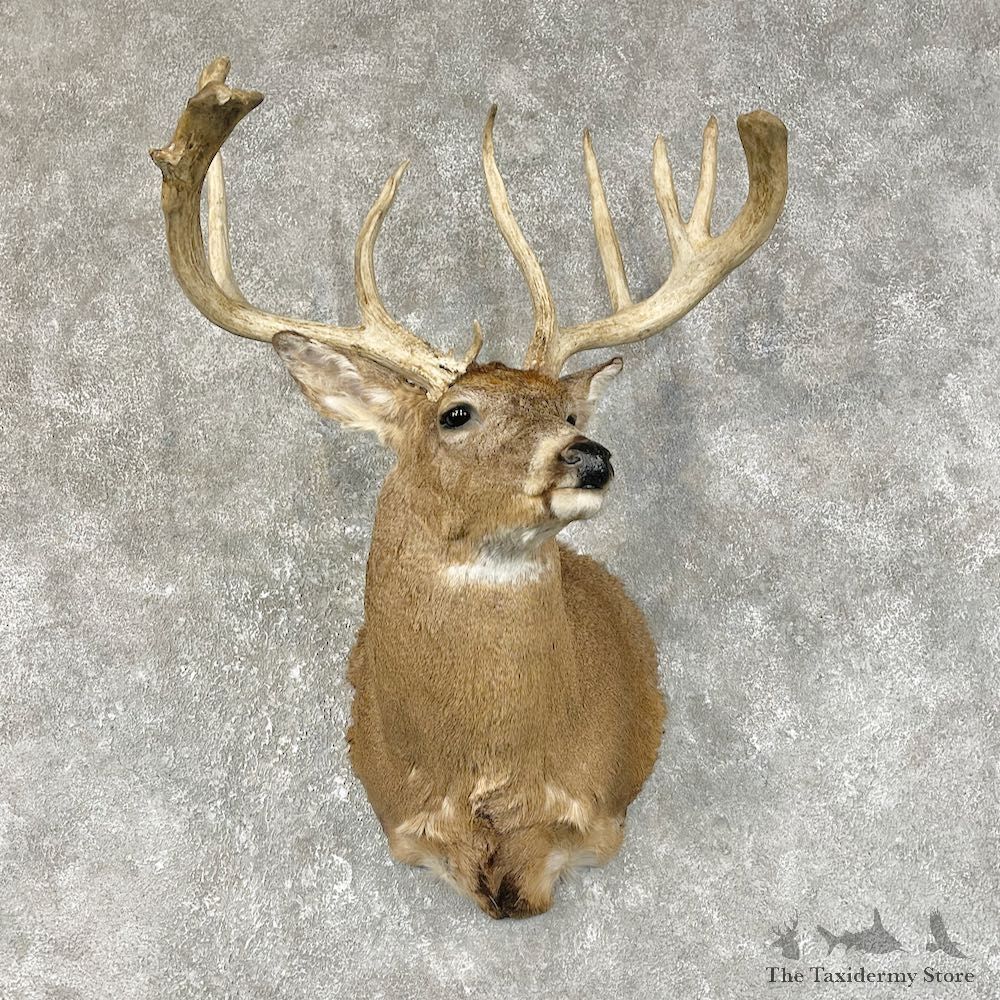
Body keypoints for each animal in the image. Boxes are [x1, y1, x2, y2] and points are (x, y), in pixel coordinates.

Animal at [151, 58, 787, 919]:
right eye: (456, 413)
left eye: (568, 409)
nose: (589, 457)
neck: (490, 777)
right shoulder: (407, 824)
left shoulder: (591, 822)